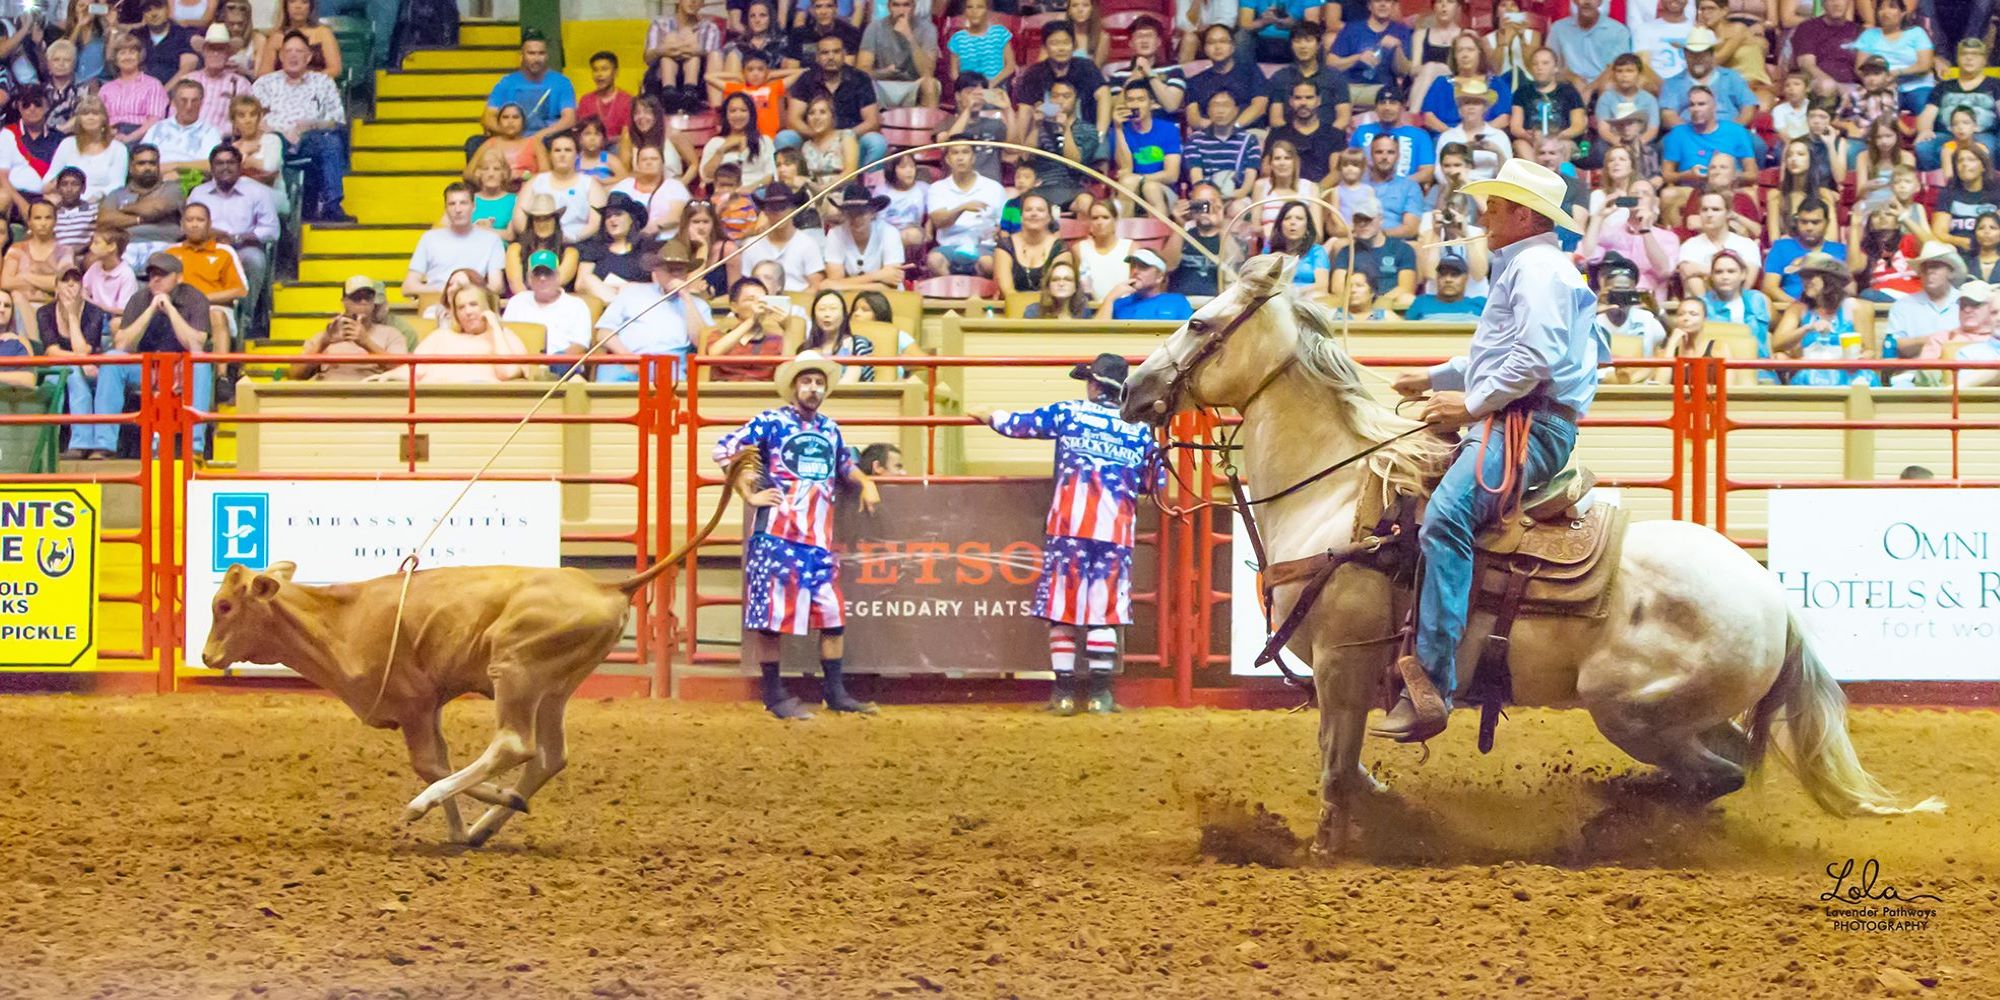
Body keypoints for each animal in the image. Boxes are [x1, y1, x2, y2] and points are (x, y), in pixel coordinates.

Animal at [203, 458, 752, 848]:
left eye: (225, 604)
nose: (207, 656)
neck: (340, 622)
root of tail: (606, 584)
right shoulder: (427, 709)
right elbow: (440, 761)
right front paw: (460, 831)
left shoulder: (415, 705)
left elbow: (431, 765)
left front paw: (442, 811)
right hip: (553, 686)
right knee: (549, 756)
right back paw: (488, 825)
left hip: (515, 668)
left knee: (513, 746)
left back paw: (435, 804)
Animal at [1120, 254, 1944, 856]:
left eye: (1196, 319)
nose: (1129, 384)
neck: (1337, 491)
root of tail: (1775, 601)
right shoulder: (1344, 678)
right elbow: (1351, 770)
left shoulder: (1340, 668)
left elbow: (1336, 771)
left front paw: (1326, 852)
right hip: (1682, 714)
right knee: (1730, 768)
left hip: (1629, 711)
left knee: (1714, 776)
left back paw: (1610, 816)